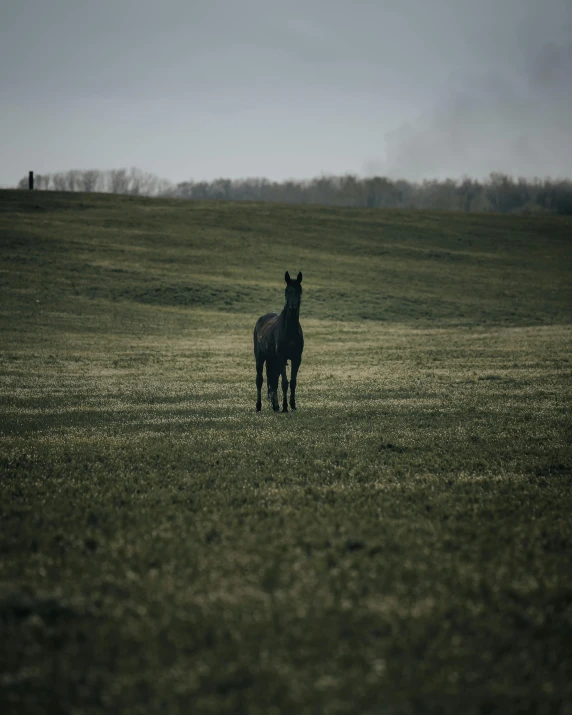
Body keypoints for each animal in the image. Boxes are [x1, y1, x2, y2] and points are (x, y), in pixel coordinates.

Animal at [251, 270, 302, 414]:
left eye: (299, 290)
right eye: (286, 291)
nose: (292, 307)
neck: (289, 331)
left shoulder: (296, 358)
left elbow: (292, 382)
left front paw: (293, 406)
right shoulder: (282, 357)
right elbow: (284, 383)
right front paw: (285, 407)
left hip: (272, 360)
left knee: (273, 381)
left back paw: (275, 407)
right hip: (260, 358)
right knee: (260, 380)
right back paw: (259, 407)